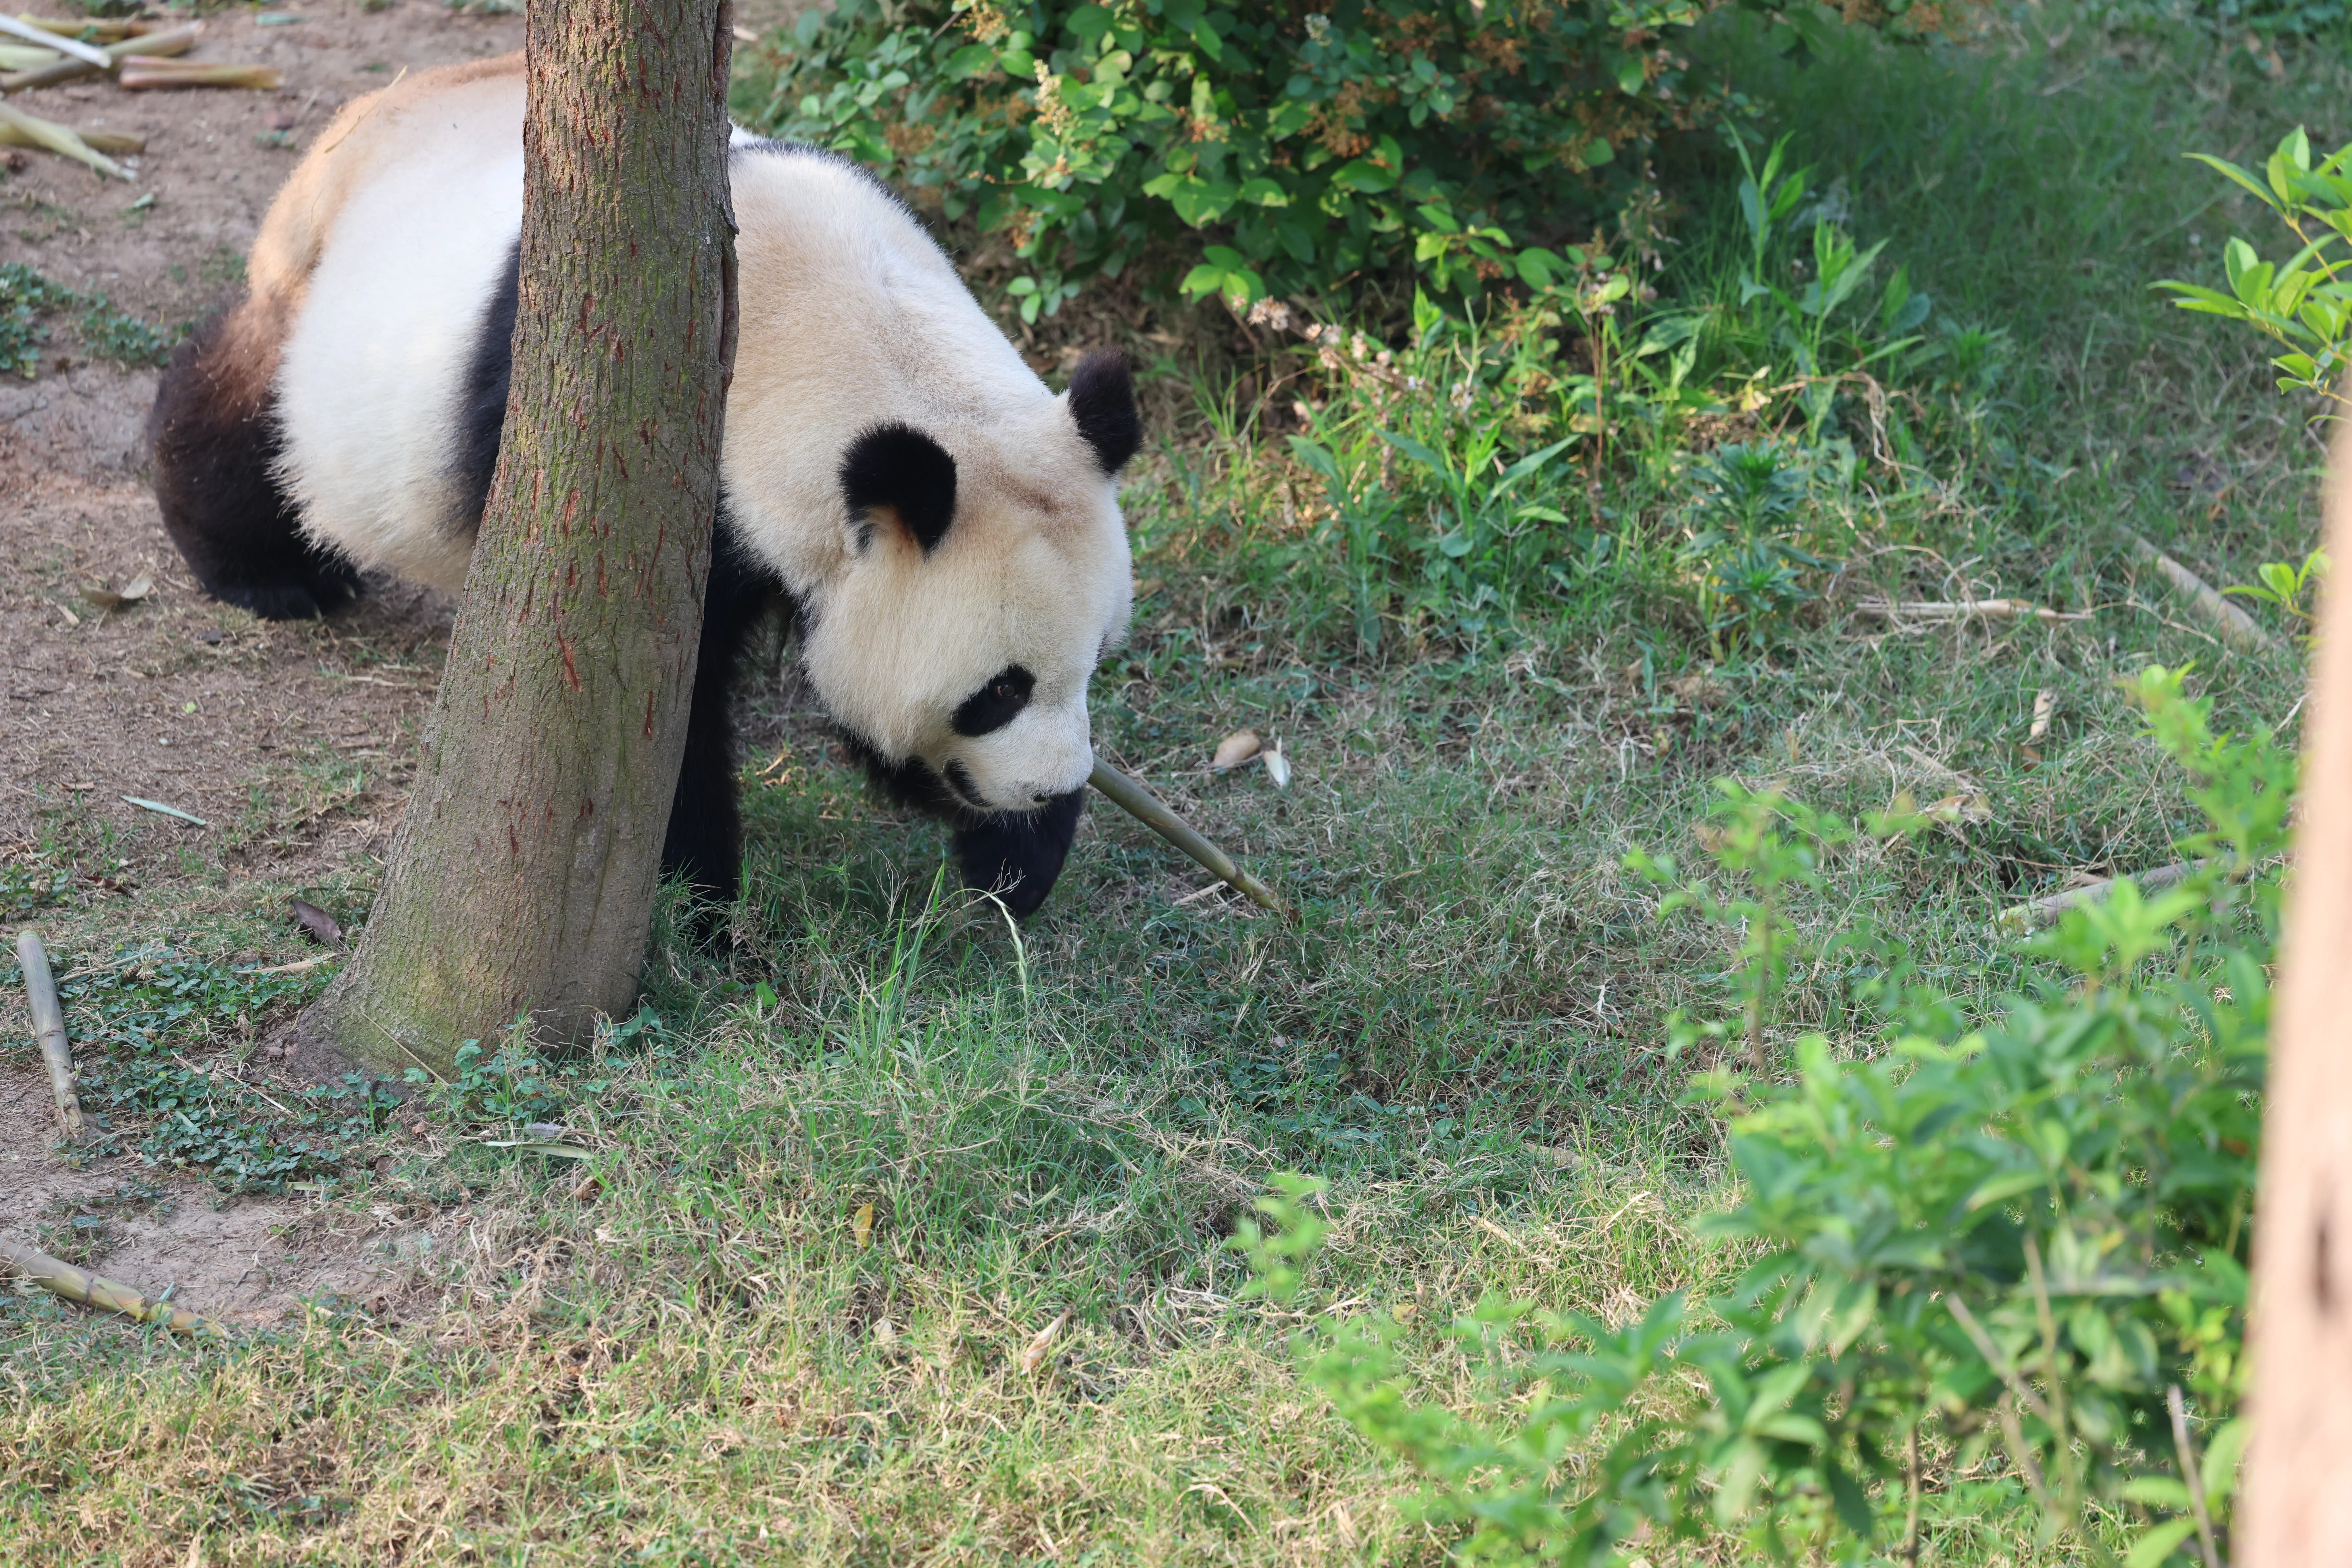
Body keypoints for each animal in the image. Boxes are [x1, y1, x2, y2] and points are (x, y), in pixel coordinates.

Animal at [147, 54, 1142, 920]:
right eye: (998, 691)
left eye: (1091, 662)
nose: (1048, 784)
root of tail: (377, 105)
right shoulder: (655, 484)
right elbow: (643, 723)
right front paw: (703, 907)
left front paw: (1016, 861)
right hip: (322, 305)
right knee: (246, 399)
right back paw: (267, 572)